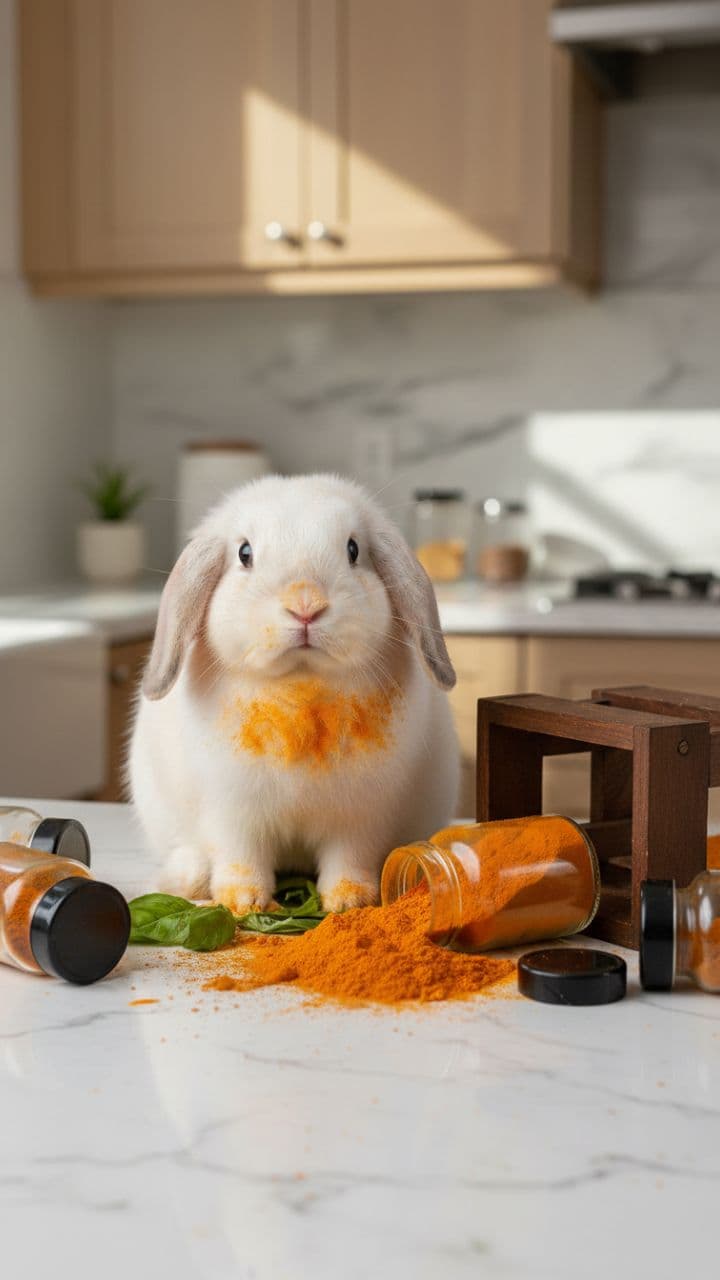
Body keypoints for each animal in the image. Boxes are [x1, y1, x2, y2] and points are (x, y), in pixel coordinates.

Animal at [130, 473, 459, 915]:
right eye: (245, 553)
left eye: (353, 550)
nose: (306, 605)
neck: (301, 688)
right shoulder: (233, 814)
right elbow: (242, 858)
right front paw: (243, 902)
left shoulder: (359, 819)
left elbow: (348, 859)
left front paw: (348, 901)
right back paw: (190, 877)